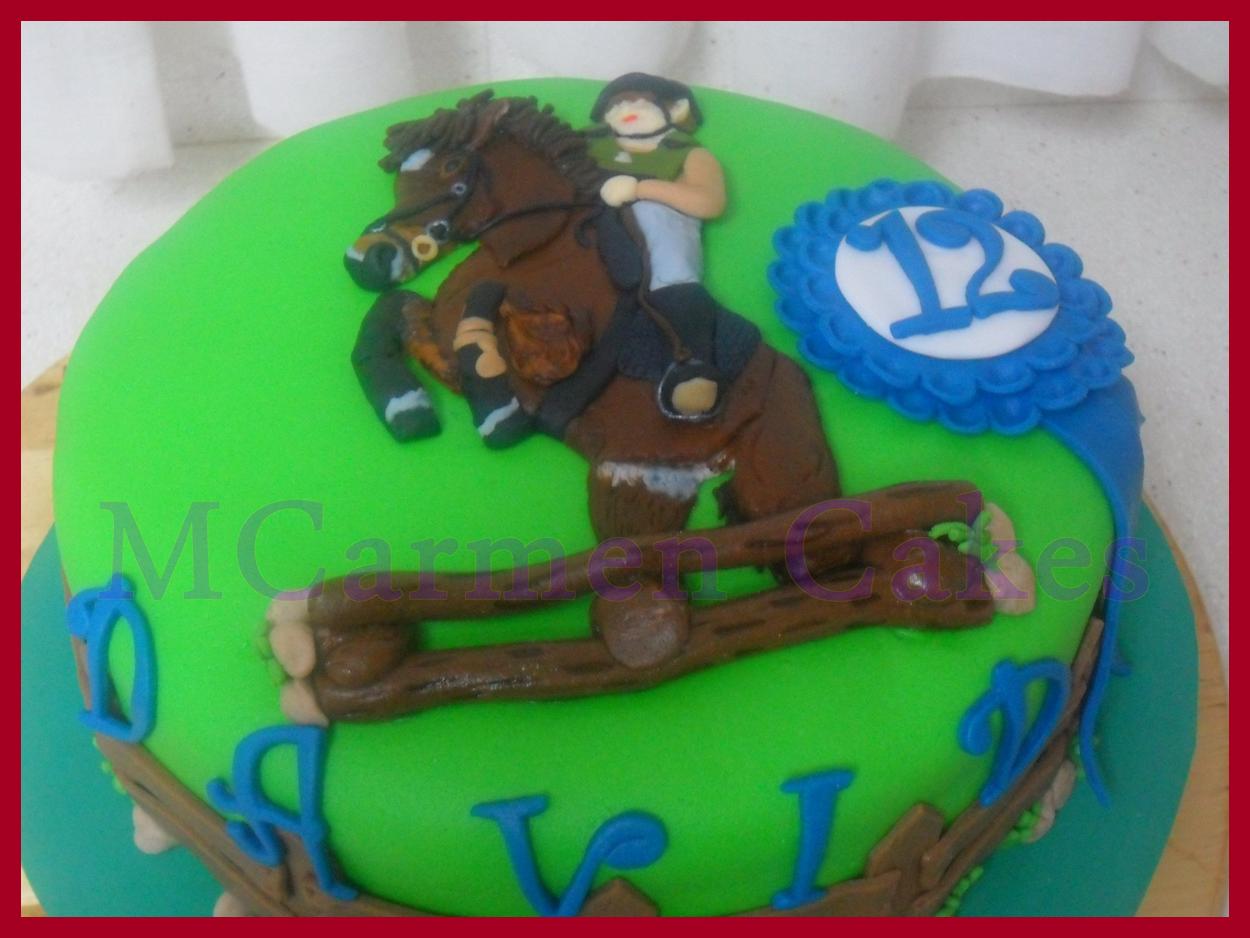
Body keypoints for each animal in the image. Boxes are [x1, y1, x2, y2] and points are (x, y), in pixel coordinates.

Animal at [265, 91, 1029, 725]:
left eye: (455, 168)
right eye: (401, 176)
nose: (364, 260)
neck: (537, 246)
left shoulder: (551, 344)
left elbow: (486, 326)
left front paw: (497, 413)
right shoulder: (439, 329)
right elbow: (395, 317)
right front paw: (407, 406)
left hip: (774, 477)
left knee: (817, 551)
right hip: (640, 475)